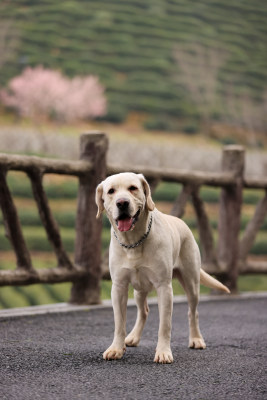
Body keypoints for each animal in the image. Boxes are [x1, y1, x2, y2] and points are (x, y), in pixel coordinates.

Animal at [96, 170, 230, 364]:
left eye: (133, 188)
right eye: (111, 191)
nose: (122, 203)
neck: (134, 242)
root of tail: (183, 224)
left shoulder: (164, 287)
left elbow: (164, 325)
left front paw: (163, 352)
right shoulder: (119, 287)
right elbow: (119, 323)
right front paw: (116, 349)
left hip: (191, 283)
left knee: (193, 312)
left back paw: (196, 339)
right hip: (139, 289)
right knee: (143, 310)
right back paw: (133, 337)